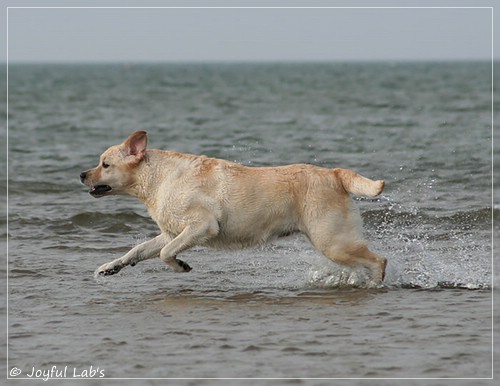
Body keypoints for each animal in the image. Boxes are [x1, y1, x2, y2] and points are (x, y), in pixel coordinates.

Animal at [81, 133, 386, 284]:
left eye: (104, 164)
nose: (82, 175)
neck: (157, 178)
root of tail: (334, 173)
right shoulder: (171, 233)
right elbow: (137, 251)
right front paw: (111, 267)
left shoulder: (202, 226)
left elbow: (166, 253)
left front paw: (181, 266)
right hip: (334, 243)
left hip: (333, 242)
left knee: (379, 261)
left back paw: (375, 285)